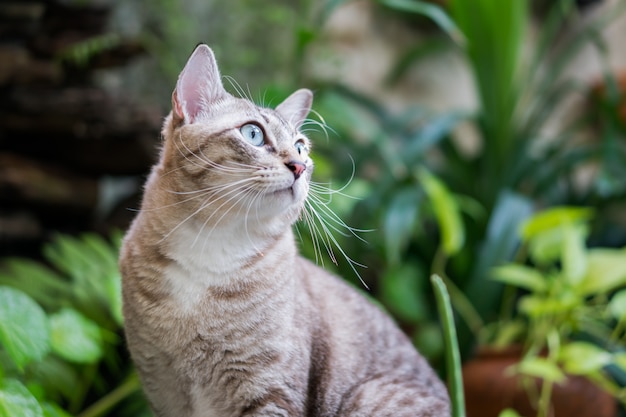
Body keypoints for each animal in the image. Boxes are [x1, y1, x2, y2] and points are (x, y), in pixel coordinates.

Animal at [118, 44, 448, 414]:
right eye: (253, 134)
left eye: (301, 146)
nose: (300, 165)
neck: (210, 247)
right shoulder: (163, 392)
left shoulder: (269, 393)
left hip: (367, 396)